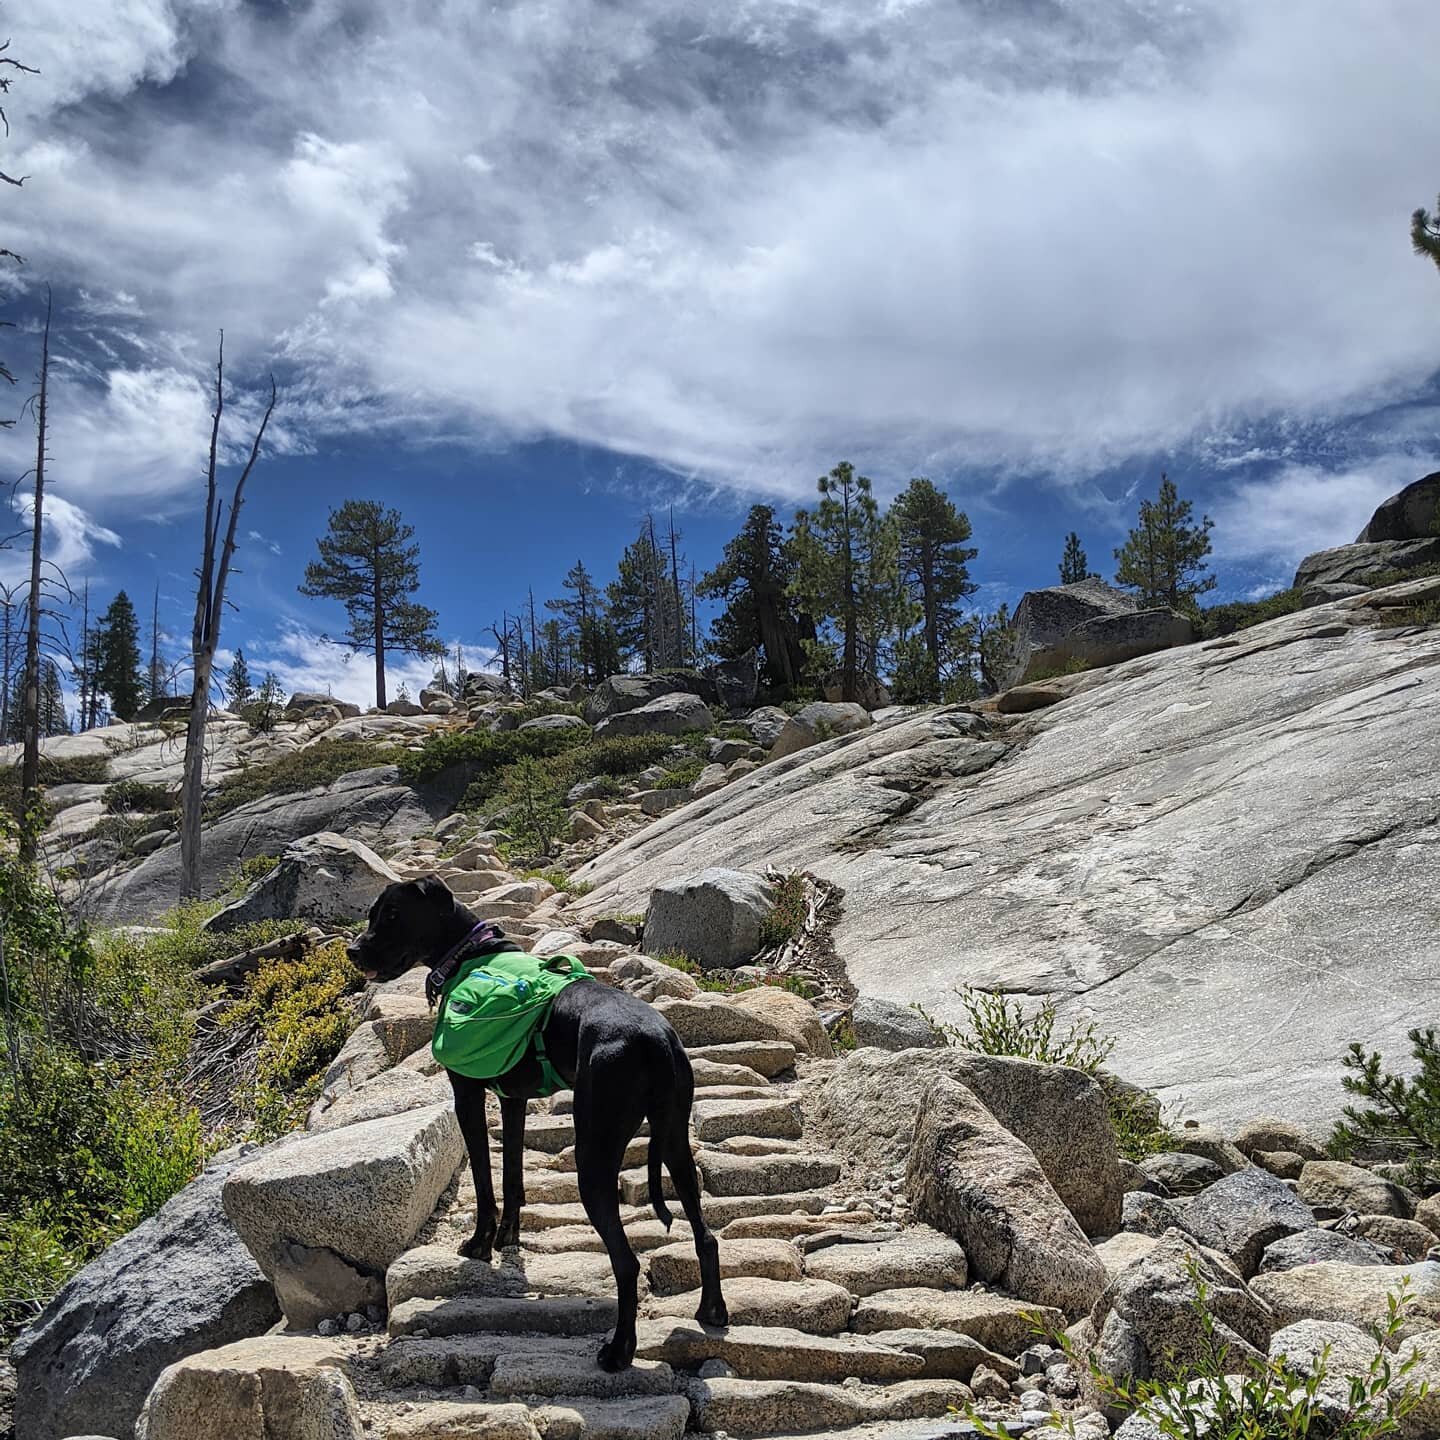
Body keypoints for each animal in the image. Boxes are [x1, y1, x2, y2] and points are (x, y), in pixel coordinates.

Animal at [344, 869, 725, 1365]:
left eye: (392, 914)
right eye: (372, 913)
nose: (353, 951)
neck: (468, 955)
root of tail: (654, 1039)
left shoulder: (467, 1095)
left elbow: (484, 1182)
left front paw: (480, 1243)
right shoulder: (513, 1100)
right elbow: (512, 1176)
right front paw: (508, 1237)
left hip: (594, 1155)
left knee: (626, 1261)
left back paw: (619, 1351)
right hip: (676, 1144)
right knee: (706, 1235)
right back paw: (711, 1310)